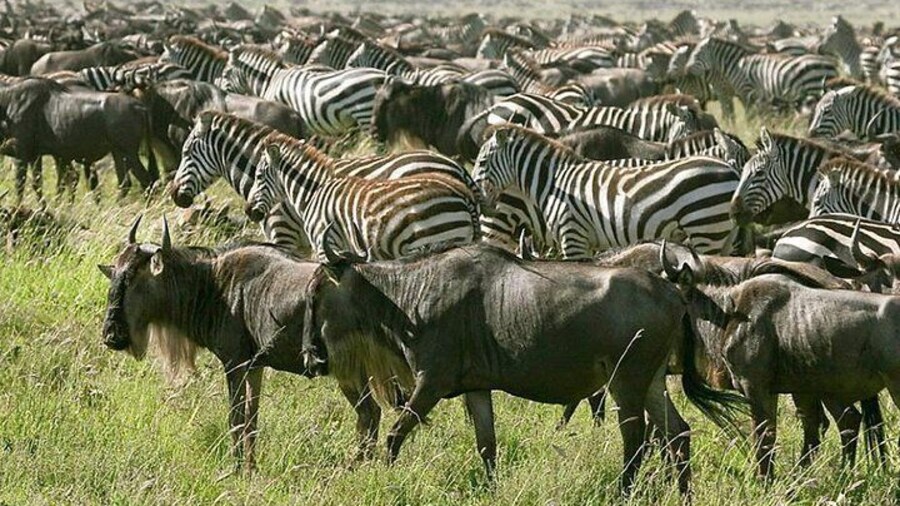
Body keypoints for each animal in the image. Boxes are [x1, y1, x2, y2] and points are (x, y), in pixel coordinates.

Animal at [473, 125, 743, 258]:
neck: (553, 181)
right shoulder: (583, 240)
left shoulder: (573, 235)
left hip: (705, 229)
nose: (476, 195)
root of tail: (731, 171)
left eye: (482, 162)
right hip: (721, 235)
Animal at [686, 36, 837, 111]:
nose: (686, 70)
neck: (737, 65)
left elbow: (748, 116)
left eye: (697, 54)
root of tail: (831, 63)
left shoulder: (746, 92)